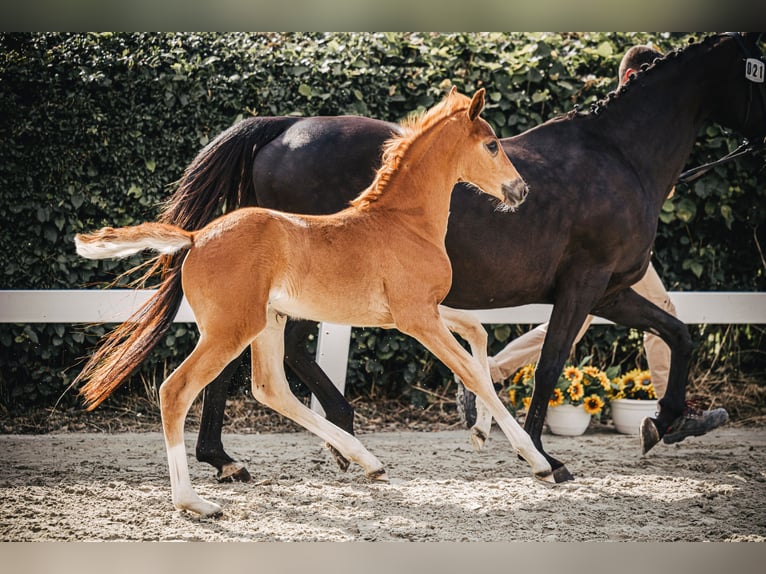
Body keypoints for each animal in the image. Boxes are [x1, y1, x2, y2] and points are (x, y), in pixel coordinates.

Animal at [88, 32, 760, 486]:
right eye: (759, 74)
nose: (519, 193)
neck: (619, 155)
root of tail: (279, 125)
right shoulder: (584, 283)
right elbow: (543, 366)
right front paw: (543, 454)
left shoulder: (613, 288)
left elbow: (678, 332)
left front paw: (667, 421)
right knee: (262, 361)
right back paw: (308, 440)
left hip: (278, 298)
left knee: (250, 364)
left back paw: (252, 453)